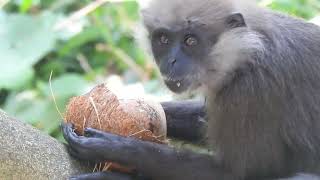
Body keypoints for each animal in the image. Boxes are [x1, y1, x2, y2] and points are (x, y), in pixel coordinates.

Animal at [62, 0, 320, 179]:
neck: (249, 49)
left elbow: (239, 174)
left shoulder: (253, 90)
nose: (171, 61)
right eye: (163, 39)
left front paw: (112, 149)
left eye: (191, 41)